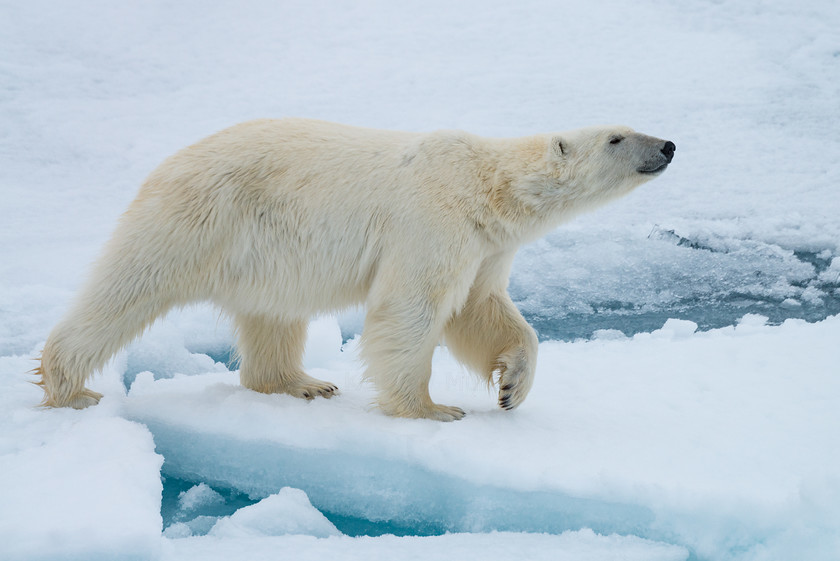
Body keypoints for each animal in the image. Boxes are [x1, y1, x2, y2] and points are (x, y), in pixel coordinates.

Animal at [34, 118, 676, 418]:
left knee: (274, 315)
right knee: (127, 288)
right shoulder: (432, 217)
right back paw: (70, 387)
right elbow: (413, 307)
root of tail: (164, 166)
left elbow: (482, 309)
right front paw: (431, 408)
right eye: (617, 137)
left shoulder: (487, 244)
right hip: (197, 219)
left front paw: (512, 387)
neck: (486, 184)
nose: (668, 145)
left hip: (265, 248)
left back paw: (300, 382)